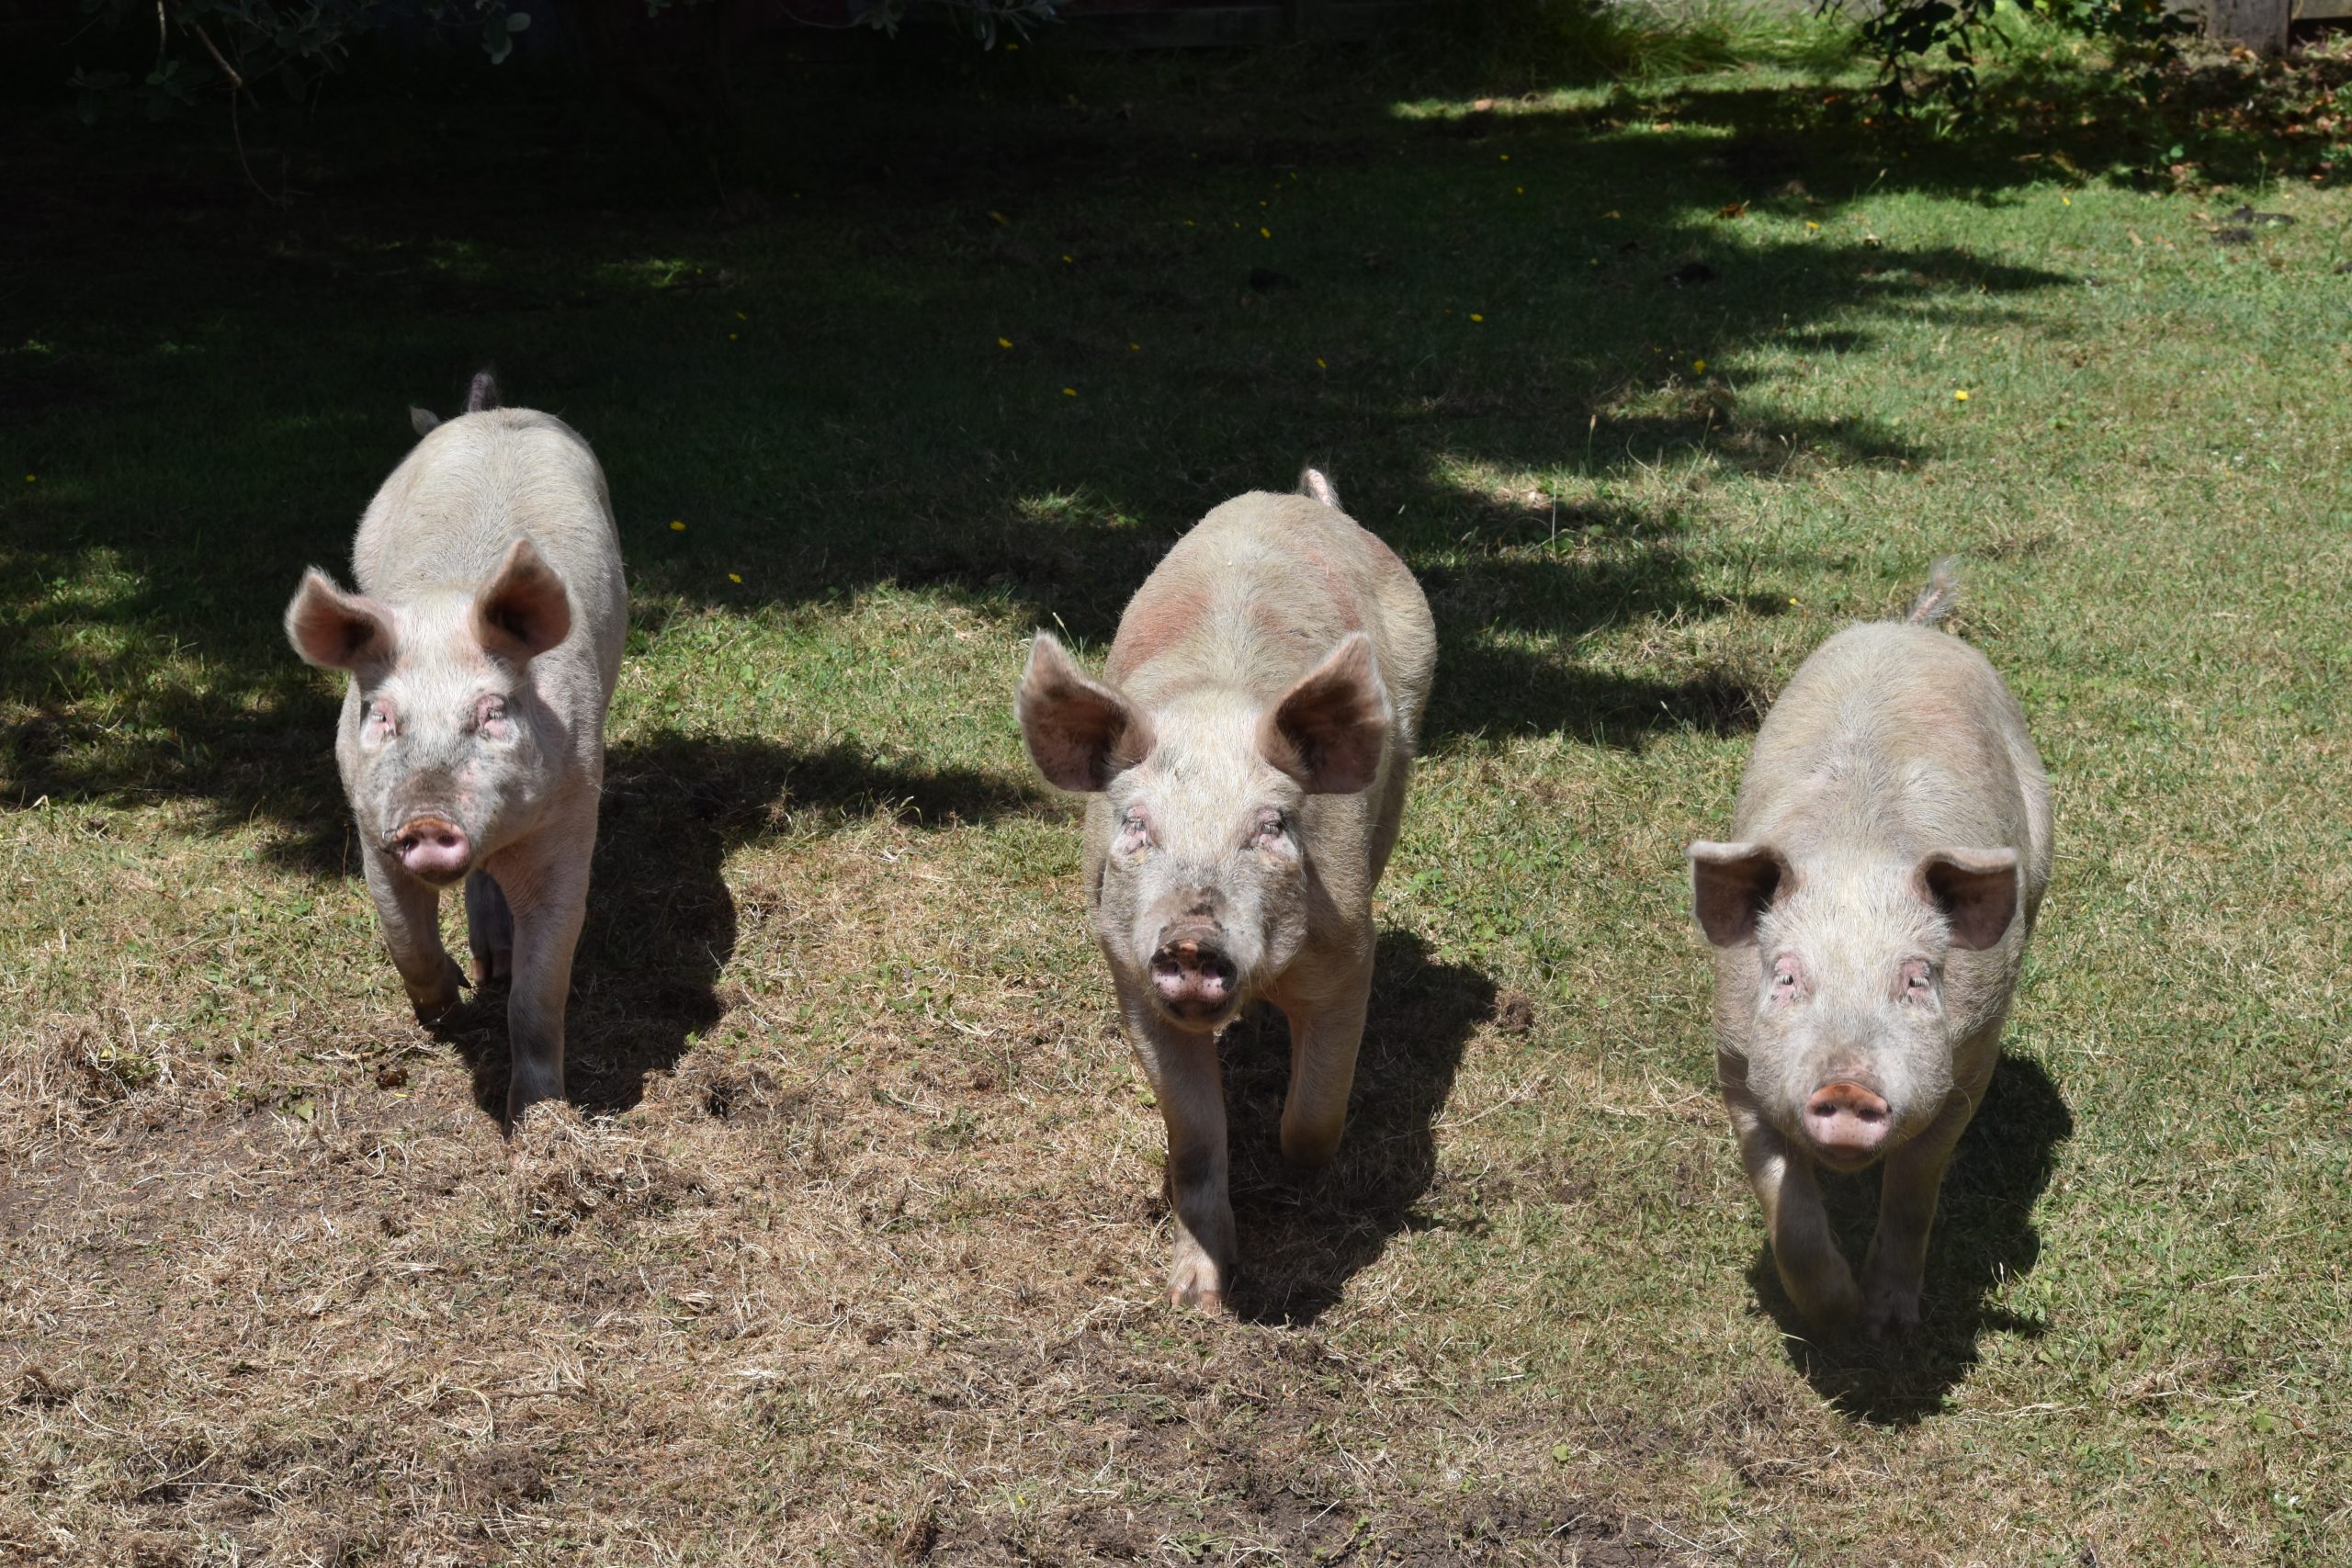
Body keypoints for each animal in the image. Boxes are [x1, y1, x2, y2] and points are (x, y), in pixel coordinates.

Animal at [283, 372, 628, 1124]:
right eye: (381, 715)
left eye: (493, 712)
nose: (427, 818)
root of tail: (492, 414)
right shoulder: (368, 819)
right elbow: (402, 937)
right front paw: (447, 1015)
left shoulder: (572, 814)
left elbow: (540, 991)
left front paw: (535, 1115)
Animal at [1015, 468, 1436, 1312]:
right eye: (1136, 824)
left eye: (1272, 826)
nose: (1191, 937)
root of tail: (1299, 502)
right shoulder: (1130, 972)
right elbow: (1196, 1139)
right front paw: (1195, 1298)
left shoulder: (1350, 951)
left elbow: (1315, 1115)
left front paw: (1297, 1167)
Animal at [1688, 563, 2052, 1336]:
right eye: (1786, 976)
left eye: (1916, 979)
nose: (1848, 1085)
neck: (1856, 856)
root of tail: (1908, 630)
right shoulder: (1735, 1054)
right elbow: (1785, 1205)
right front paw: (1837, 1317)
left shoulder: (1971, 1053)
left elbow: (1915, 1185)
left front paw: (1888, 1321)